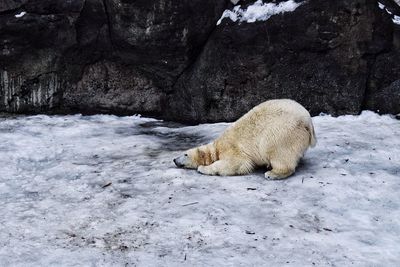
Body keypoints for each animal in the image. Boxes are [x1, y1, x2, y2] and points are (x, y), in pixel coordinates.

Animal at [173, 99, 318, 181]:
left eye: (185, 154)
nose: (174, 159)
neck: (217, 147)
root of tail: (308, 121)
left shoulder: (232, 148)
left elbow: (236, 163)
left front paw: (203, 168)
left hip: (282, 132)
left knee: (277, 151)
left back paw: (272, 173)